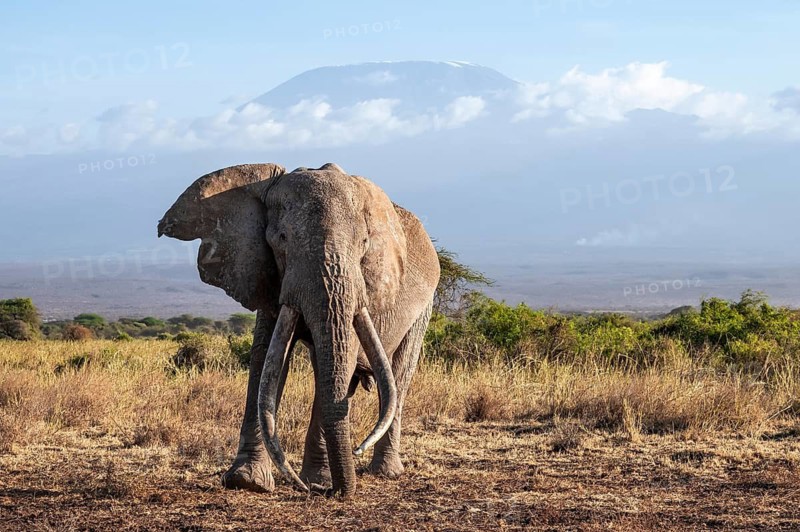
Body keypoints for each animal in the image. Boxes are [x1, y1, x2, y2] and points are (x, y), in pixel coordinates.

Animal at [157, 162, 440, 497]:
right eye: (281, 238)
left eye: (364, 244)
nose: (334, 493)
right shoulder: (265, 273)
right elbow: (267, 361)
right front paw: (248, 481)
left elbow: (335, 364)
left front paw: (315, 482)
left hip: (424, 308)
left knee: (399, 373)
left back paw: (384, 472)